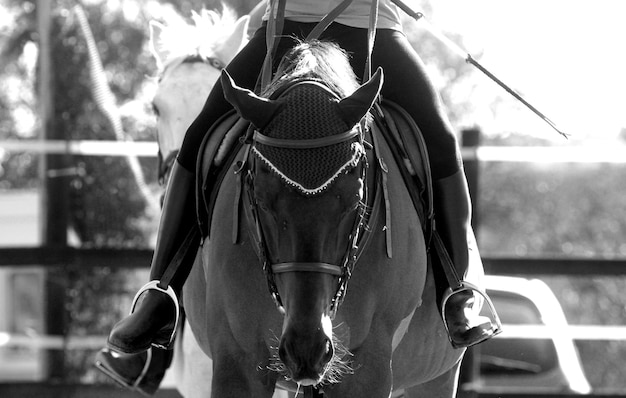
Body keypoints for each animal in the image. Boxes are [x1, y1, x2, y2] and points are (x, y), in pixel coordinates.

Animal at [173, 34, 480, 394]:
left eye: (356, 200)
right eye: (260, 199)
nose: (307, 350)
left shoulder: (368, 367)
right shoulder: (237, 361)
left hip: (438, 376)